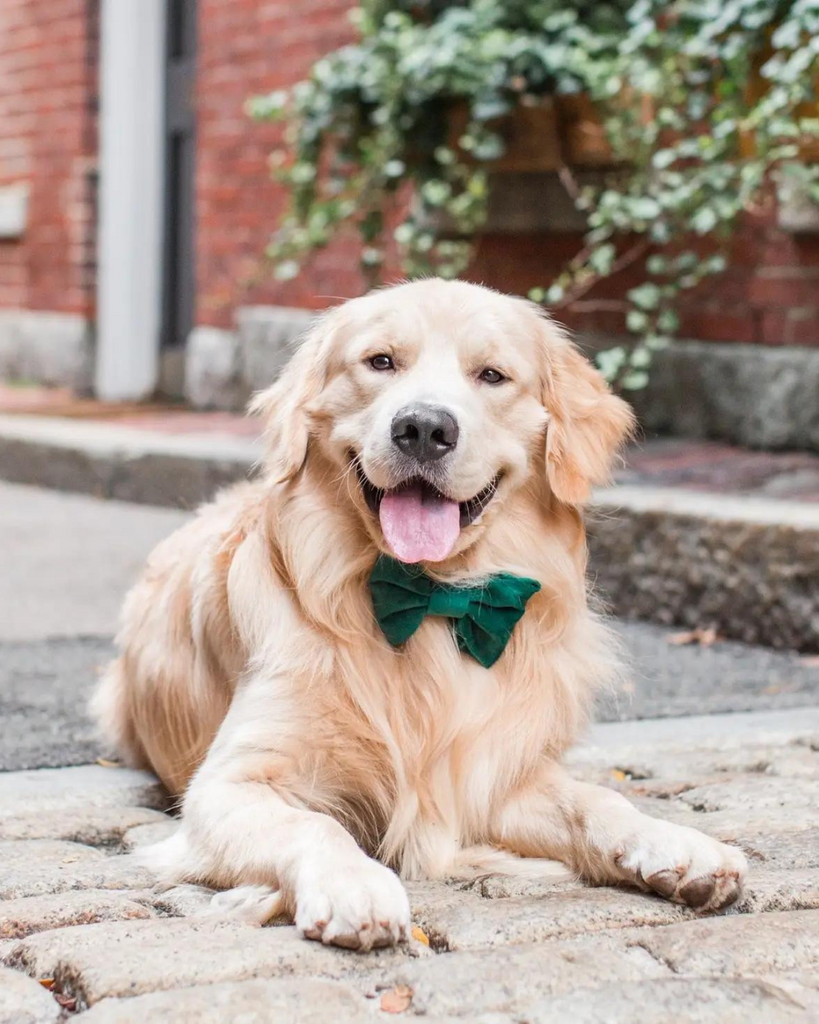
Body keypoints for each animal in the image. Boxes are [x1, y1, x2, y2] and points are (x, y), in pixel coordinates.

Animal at [92, 278, 745, 950]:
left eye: (492, 375)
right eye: (380, 362)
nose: (424, 427)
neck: (431, 593)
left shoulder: (493, 773)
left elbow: (597, 801)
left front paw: (676, 843)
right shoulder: (227, 784)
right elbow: (317, 825)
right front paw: (354, 885)